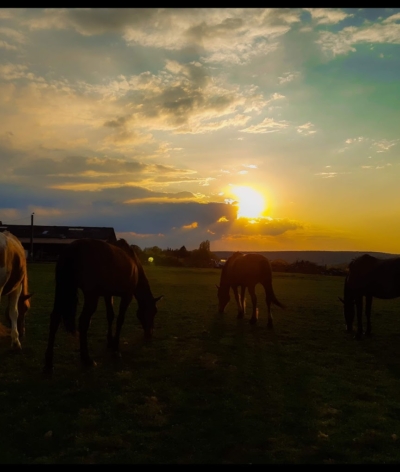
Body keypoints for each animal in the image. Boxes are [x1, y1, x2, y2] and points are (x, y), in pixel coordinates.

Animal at [44, 238, 162, 374]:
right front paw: (115, 348)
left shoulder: (107, 294)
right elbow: (120, 320)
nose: (149, 334)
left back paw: (49, 364)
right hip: (91, 297)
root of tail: (73, 248)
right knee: (83, 321)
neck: (134, 264)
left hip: (62, 291)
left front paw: (110, 341)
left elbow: (110, 316)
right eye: (153, 311)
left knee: (55, 319)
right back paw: (86, 359)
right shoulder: (127, 296)